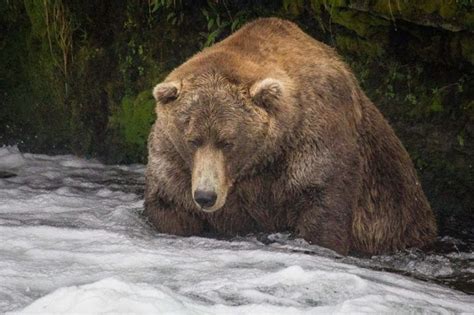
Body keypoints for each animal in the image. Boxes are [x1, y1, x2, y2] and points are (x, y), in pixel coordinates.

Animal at [144, 17, 436, 256]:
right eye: (192, 139)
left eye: (228, 141)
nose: (206, 196)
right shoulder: (173, 159)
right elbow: (169, 203)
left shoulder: (314, 140)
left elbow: (323, 209)